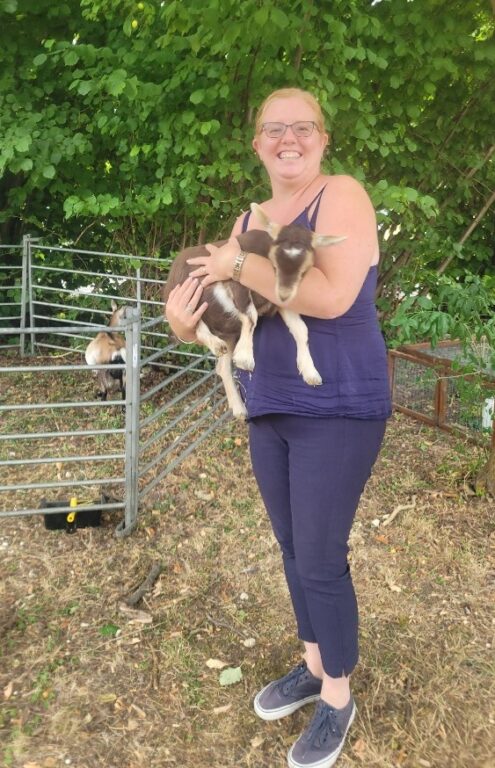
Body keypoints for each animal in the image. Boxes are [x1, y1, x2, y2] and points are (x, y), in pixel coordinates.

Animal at [163, 204, 344, 420]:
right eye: (274, 264)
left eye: (304, 271)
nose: (284, 294)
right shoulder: (236, 282)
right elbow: (251, 316)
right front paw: (246, 358)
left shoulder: (279, 303)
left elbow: (300, 329)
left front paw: (310, 372)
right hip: (187, 294)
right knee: (195, 320)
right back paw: (215, 344)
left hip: (228, 333)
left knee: (222, 366)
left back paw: (239, 408)